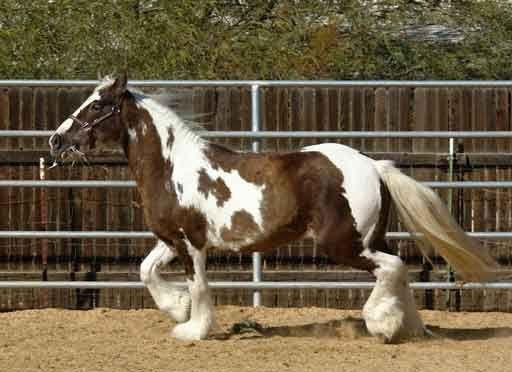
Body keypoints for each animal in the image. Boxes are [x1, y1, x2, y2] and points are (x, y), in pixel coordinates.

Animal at [49, 74, 496, 342]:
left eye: (97, 105)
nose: (56, 139)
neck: (173, 165)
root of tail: (372, 165)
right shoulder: (172, 239)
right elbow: (146, 271)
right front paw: (178, 312)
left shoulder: (192, 243)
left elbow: (199, 285)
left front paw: (195, 329)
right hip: (369, 237)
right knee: (398, 272)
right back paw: (406, 328)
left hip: (344, 244)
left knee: (392, 268)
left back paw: (381, 323)